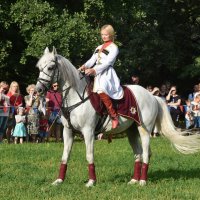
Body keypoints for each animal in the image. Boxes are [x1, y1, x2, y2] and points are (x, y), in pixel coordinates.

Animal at [35, 47, 200, 187]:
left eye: (50, 67)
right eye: (39, 67)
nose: (38, 90)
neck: (76, 97)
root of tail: (152, 96)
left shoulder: (88, 132)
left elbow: (89, 155)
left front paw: (91, 182)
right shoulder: (68, 132)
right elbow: (65, 156)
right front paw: (59, 180)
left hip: (144, 130)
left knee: (146, 153)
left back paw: (142, 181)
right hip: (131, 131)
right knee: (138, 154)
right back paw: (134, 180)